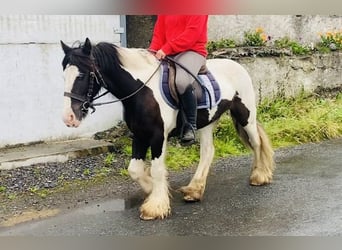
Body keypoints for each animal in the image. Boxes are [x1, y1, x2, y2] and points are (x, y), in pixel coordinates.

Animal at [60, 38, 276, 220]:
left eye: (82, 75)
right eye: (64, 75)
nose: (68, 118)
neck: (142, 92)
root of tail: (237, 65)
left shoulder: (157, 136)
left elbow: (156, 170)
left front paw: (155, 206)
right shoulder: (139, 135)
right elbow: (135, 170)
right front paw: (153, 190)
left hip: (246, 115)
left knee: (256, 142)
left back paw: (259, 176)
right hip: (207, 122)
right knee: (208, 151)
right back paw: (194, 190)